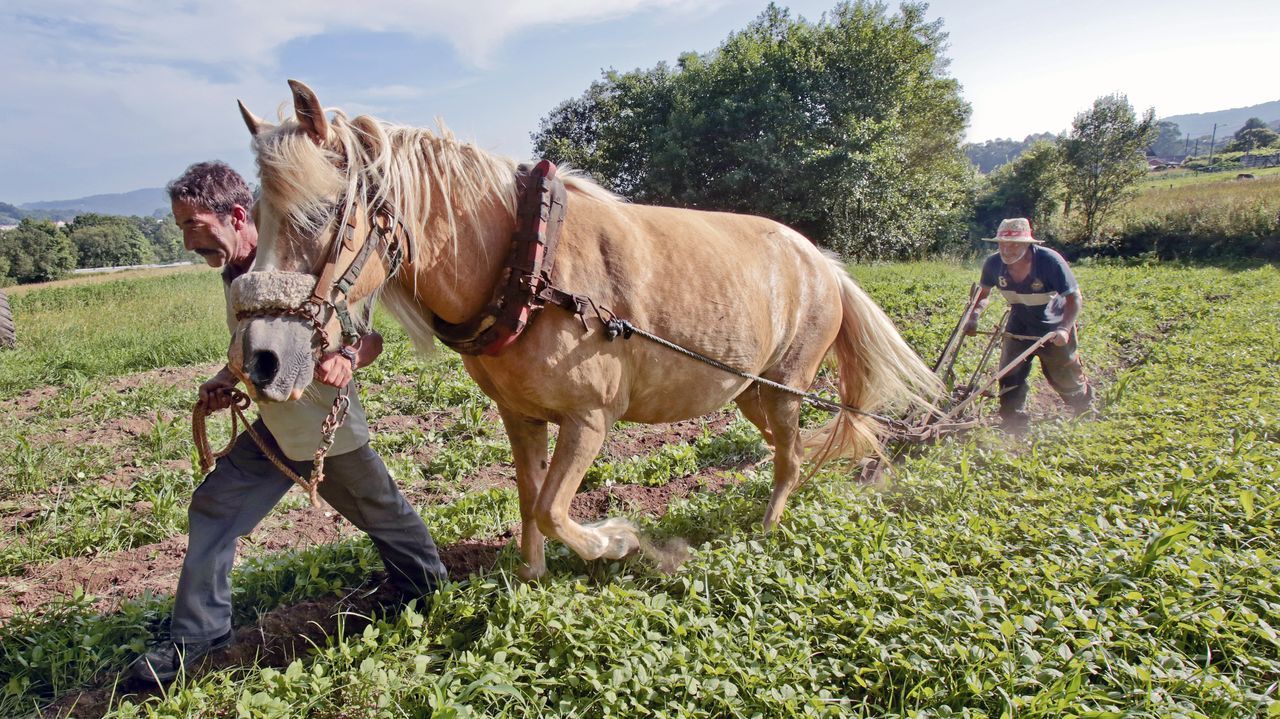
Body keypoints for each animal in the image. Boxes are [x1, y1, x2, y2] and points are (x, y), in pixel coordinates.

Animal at [230, 81, 942, 578]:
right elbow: (527, 495)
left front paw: (622, 542)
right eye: (254, 217)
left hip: (788, 384)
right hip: (749, 392)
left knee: (791, 457)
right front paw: (531, 574)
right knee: (783, 449)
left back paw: (768, 526)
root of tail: (823, 261)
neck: (527, 265)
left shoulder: (590, 417)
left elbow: (553, 506)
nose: (260, 360)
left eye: (320, 212)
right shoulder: (520, 415)